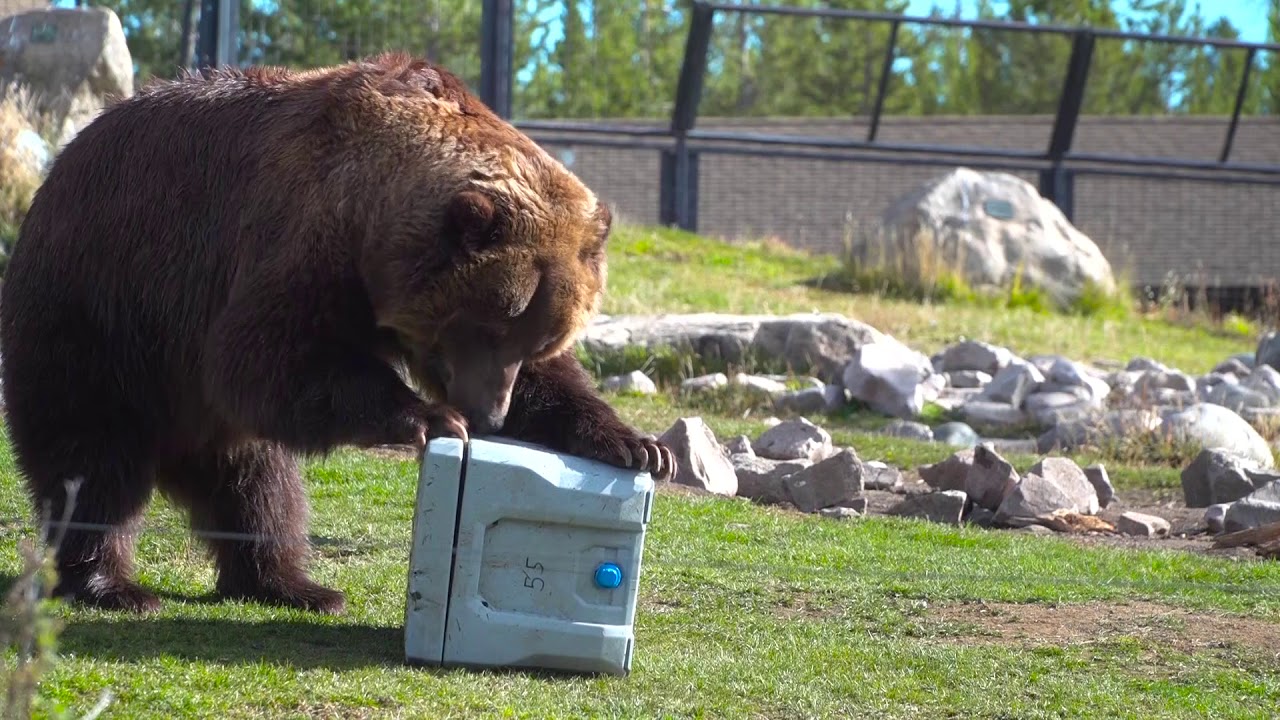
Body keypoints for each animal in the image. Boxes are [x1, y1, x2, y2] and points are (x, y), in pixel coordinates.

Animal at [0, 51, 675, 609]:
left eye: (538, 338)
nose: (489, 415)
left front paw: (639, 445)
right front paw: (430, 416)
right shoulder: (295, 239)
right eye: (486, 327)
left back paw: (292, 583)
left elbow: (555, 389)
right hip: (99, 316)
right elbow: (258, 356)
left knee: (259, 486)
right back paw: (110, 584)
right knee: (92, 460)